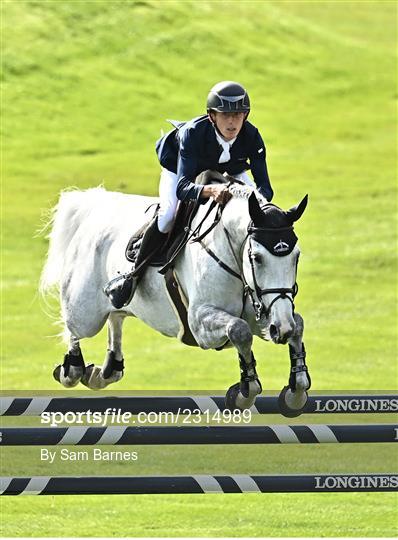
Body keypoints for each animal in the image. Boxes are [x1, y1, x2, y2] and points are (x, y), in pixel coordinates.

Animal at [40, 184, 310, 416]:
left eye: (297, 256)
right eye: (257, 257)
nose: (281, 329)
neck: (230, 253)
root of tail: (94, 207)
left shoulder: (266, 310)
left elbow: (297, 324)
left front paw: (296, 389)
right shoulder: (200, 323)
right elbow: (239, 330)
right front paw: (246, 390)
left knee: (116, 315)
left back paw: (105, 371)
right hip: (85, 313)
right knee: (75, 330)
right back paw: (73, 369)